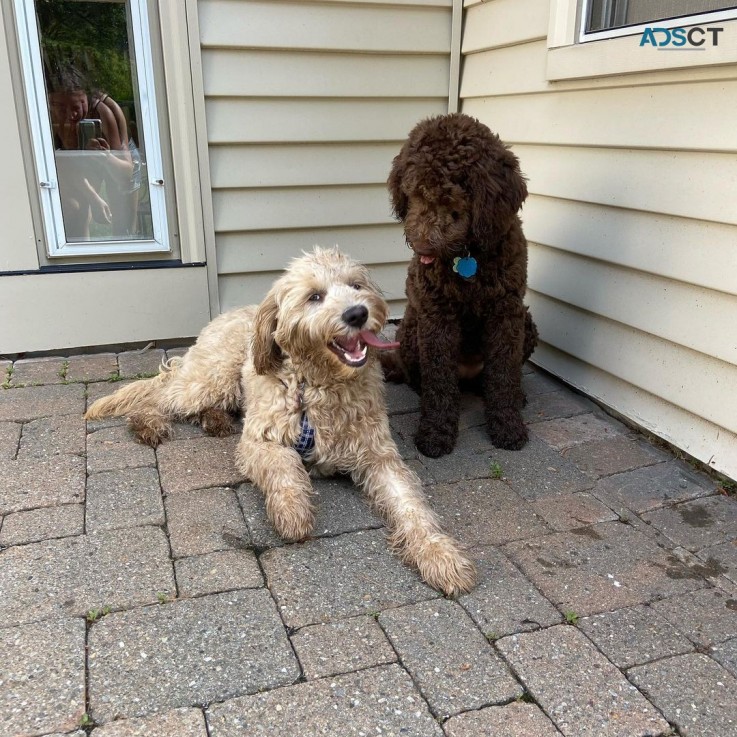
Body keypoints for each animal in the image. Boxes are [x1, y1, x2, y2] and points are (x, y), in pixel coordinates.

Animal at [386, 112, 536, 458]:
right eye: (414, 193)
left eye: (451, 197)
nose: (422, 247)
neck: (468, 257)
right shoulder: (437, 316)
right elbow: (439, 381)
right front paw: (436, 433)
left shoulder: (506, 313)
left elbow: (504, 374)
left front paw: (508, 426)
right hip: (411, 331)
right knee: (424, 378)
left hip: (526, 323)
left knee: (494, 378)